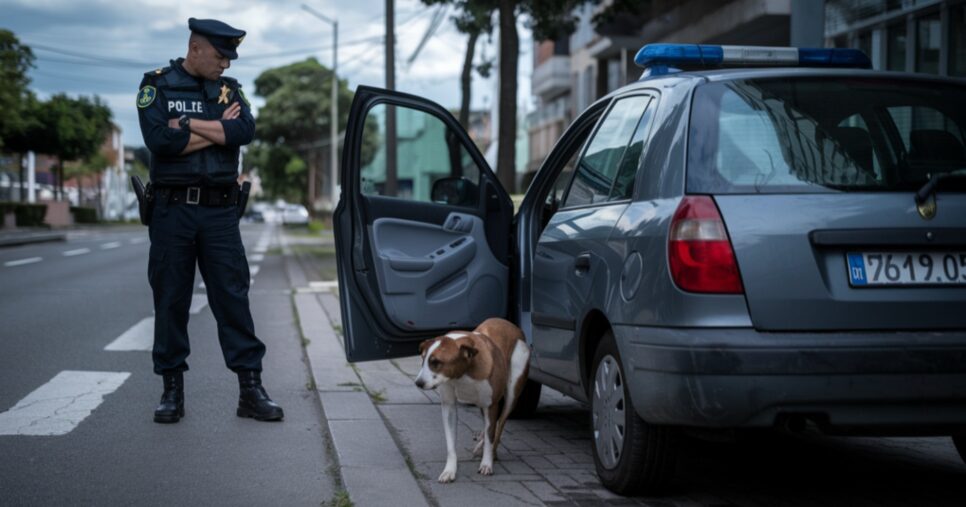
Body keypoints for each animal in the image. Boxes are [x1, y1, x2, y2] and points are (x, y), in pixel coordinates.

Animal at [414, 318, 528, 484]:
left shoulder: (491, 406)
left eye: (436, 363)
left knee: (500, 424)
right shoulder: (449, 406)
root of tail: (512, 326)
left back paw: (490, 450)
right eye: (423, 360)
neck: (463, 373)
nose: (418, 383)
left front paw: (487, 463)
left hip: (512, 392)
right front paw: (449, 470)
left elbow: (491, 435)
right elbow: (451, 443)